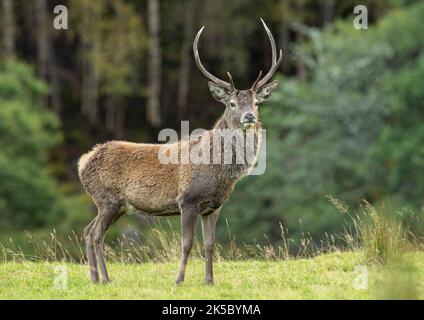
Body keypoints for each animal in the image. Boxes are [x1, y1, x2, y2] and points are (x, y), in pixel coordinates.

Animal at [77, 18, 282, 284]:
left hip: (114, 205)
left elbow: (210, 245)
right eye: (232, 104)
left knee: (87, 231)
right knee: (95, 235)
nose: (249, 116)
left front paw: (209, 280)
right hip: (107, 200)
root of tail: (82, 162)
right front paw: (179, 279)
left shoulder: (214, 206)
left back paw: (95, 278)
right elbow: (187, 244)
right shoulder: (188, 200)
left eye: (256, 103)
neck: (219, 172)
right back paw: (105, 278)